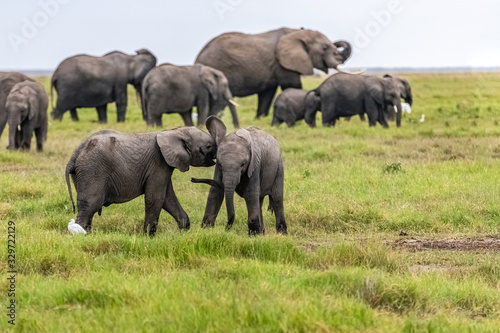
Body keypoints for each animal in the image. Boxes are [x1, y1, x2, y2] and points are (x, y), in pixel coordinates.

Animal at [65, 125, 216, 236]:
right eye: (208, 146)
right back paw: (82, 235)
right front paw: (148, 237)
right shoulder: (158, 164)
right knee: (90, 205)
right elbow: (155, 198)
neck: (174, 132)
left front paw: (184, 232)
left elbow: (168, 199)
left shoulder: (165, 167)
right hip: (92, 170)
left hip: (83, 173)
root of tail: (75, 154)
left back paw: (89, 234)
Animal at [195, 27, 352, 118]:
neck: (295, 32)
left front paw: (260, 119)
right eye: (325, 48)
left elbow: (267, 94)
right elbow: (292, 85)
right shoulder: (282, 64)